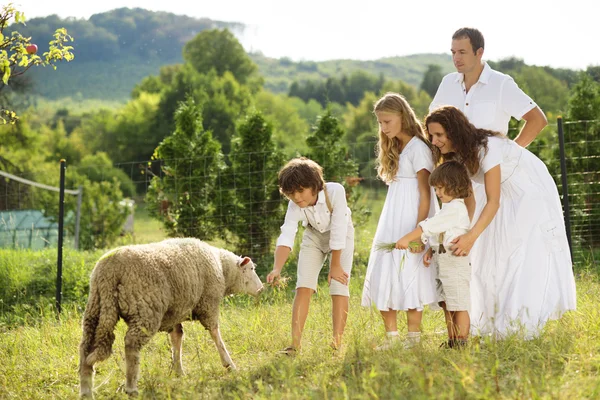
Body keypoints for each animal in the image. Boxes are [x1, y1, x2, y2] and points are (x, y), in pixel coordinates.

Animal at [77, 238, 262, 396]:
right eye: (252, 269)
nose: (261, 288)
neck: (223, 270)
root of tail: (109, 271)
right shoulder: (208, 303)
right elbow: (216, 334)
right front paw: (229, 364)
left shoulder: (176, 313)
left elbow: (177, 338)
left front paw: (178, 370)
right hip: (146, 310)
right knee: (131, 344)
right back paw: (131, 387)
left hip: (96, 308)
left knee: (85, 347)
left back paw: (86, 389)